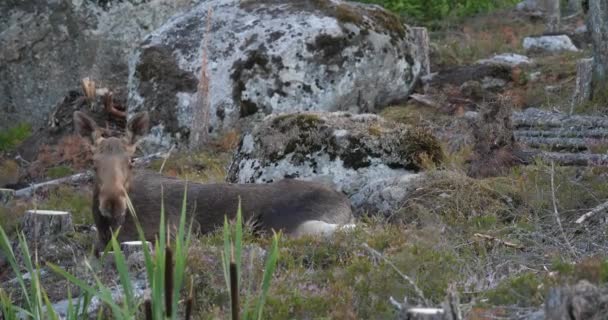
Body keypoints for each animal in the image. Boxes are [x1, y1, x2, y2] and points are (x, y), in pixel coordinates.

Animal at [73, 110, 354, 248]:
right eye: (92, 163)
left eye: (132, 160)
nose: (112, 203)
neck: (109, 227)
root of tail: (347, 205)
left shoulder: (174, 232)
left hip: (283, 227)